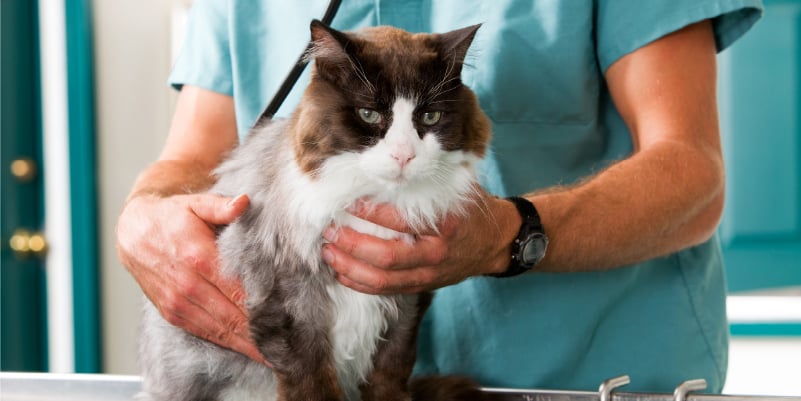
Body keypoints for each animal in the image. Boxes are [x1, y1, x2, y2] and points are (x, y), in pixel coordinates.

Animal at [138, 20, 490, 400]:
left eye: (429, 116)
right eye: (369, 114)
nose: (403, 156)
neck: (375, 199)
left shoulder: (407, 302)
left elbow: (389, 373)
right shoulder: (288, 300)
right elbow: (311, 380)